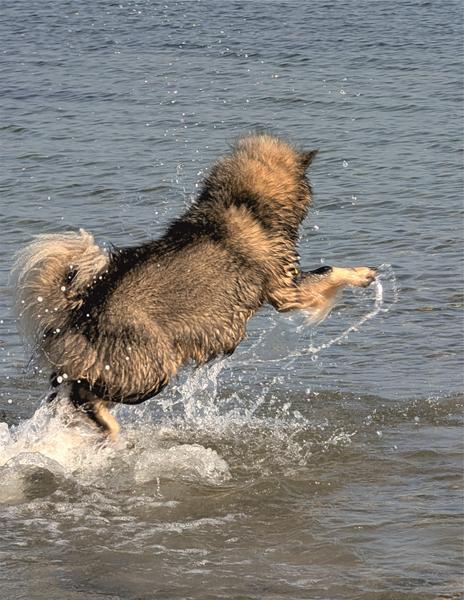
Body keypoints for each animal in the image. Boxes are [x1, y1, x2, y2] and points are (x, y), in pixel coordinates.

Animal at [11, 135, 376, 436]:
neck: (242, 202)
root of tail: (77, 312)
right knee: (84, 395)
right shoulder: (287, 291)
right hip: (150, 371)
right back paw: (112, 431)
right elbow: (329, 271)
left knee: (70, 392)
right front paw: (363, 274)